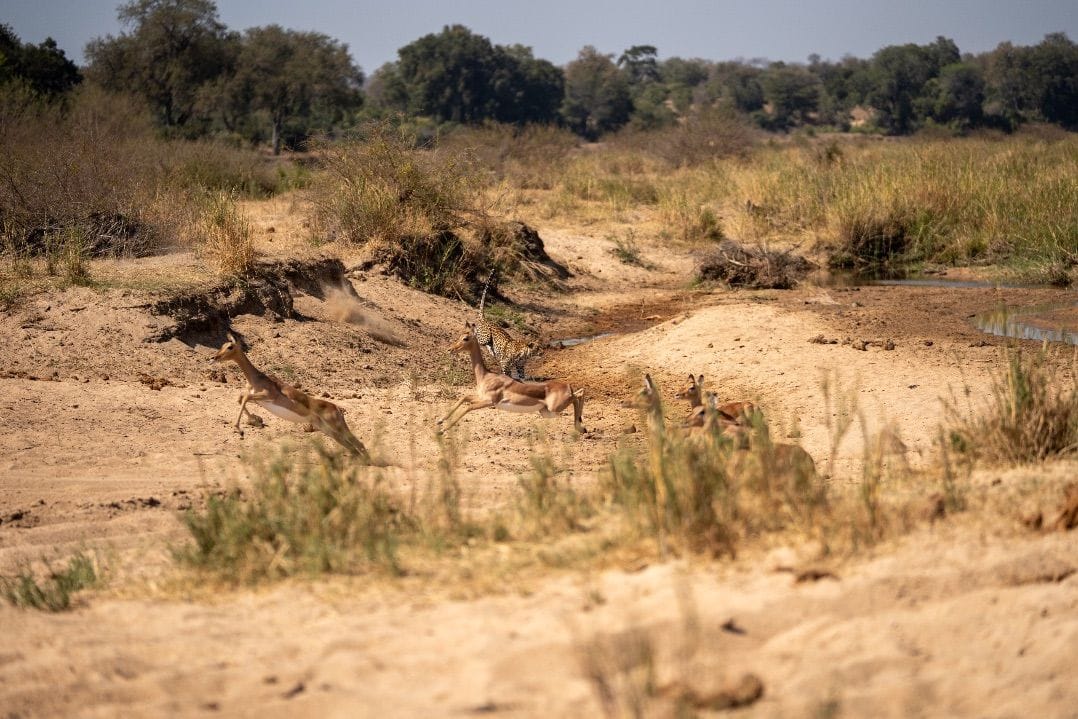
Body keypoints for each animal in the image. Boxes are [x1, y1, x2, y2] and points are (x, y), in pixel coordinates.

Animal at [211, 334, 371, 461]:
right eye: (222, 345)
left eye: (230, 346)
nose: (213, 358)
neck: (256, 379)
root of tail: (337, 408)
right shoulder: (257, 398)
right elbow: (241, 398)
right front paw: (254, 422)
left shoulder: (268, 396)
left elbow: (244, 398)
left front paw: (240, 429)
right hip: (328, 430)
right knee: (353, 447)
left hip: (337, 427)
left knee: (358, 444)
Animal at [437, 322, 585, 434]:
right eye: (459, 335)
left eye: (466, 338)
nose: (450, 349)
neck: (485, 376)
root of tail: (566, 386)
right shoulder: (481, 397)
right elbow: (464, 397)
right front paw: (439, 420)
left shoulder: (491, 401)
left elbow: (469, 407)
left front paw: (443, 430)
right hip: (547, 412)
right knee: (579, 393)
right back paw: (581, 427)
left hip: (554, 408)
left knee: (578, 395)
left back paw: (580, 426)